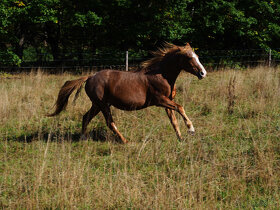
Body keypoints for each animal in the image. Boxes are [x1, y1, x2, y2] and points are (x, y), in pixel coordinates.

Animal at [47, 43, 206, 144]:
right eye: (189, 57)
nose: (203, 73)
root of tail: (90, 77)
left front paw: (181, 139)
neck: (161, 75)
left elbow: (174, 121)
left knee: (86, 117)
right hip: (103, 105)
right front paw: (191, 129)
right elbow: (180, 107)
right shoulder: (160, 100)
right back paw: (125, 141)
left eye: (197, 56)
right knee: (110, 122)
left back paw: (83, 139)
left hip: (97, 105)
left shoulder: (167, 103)